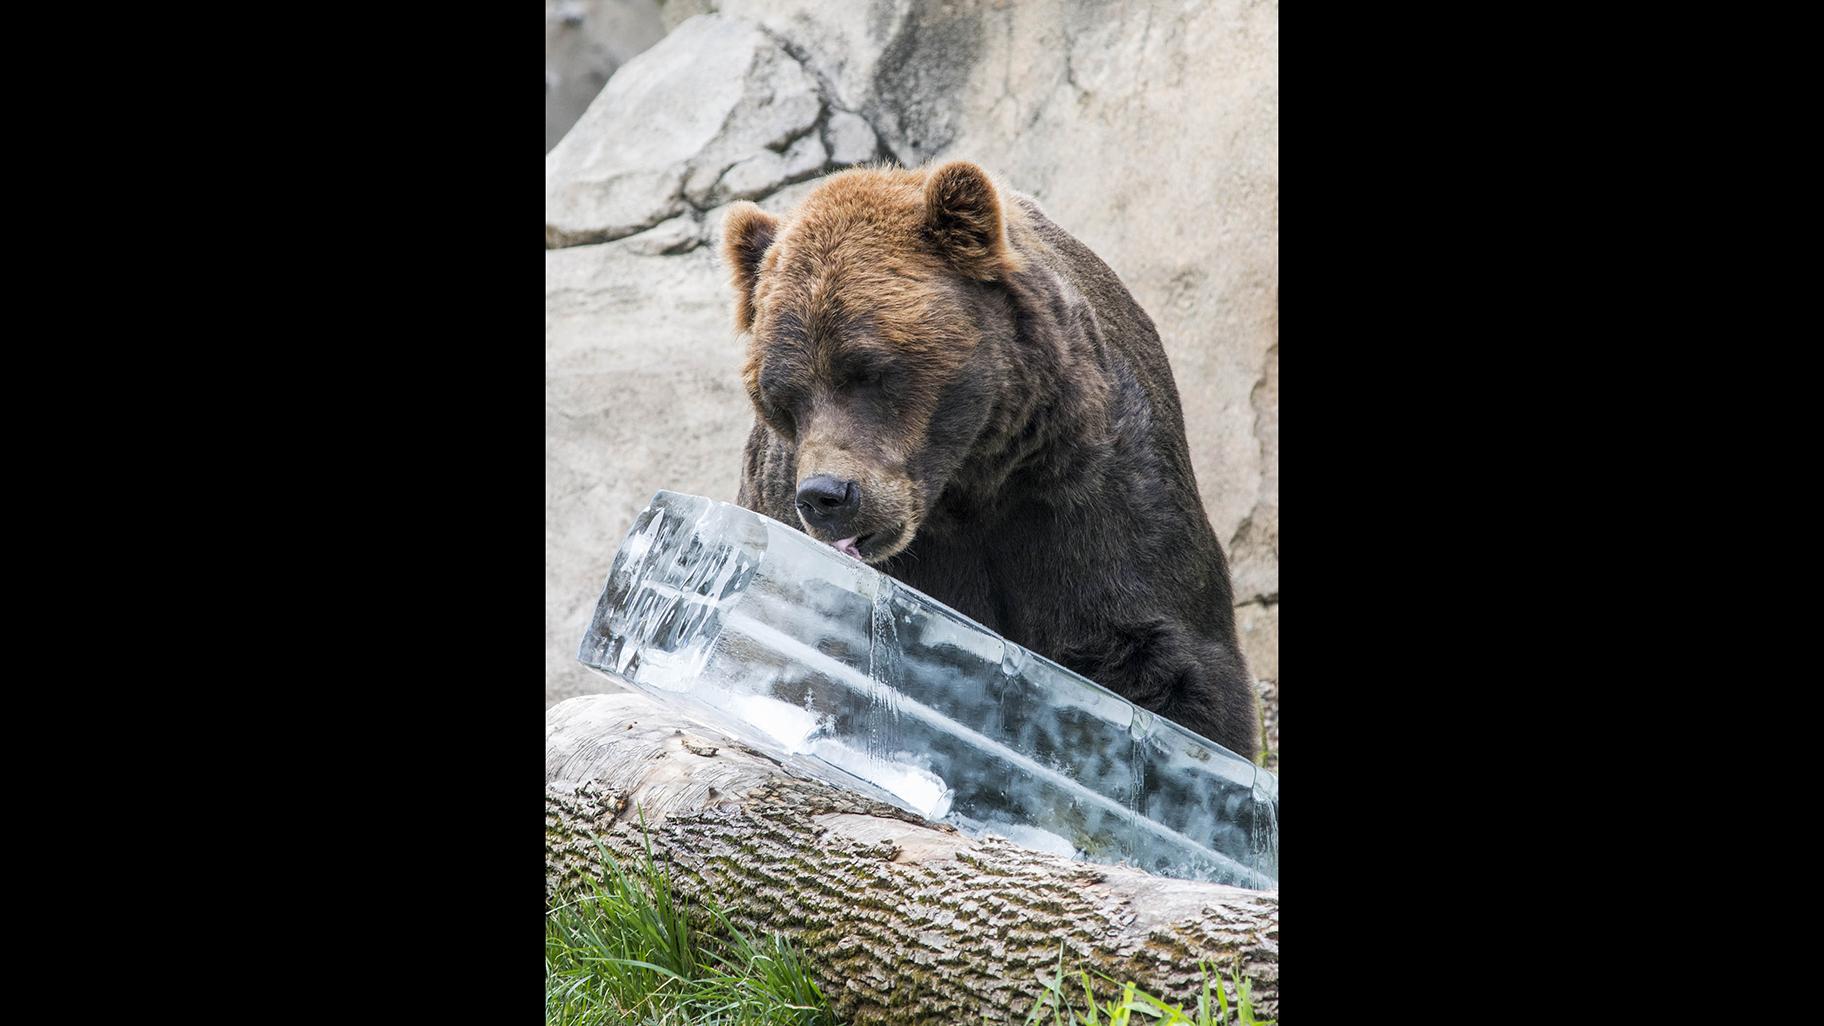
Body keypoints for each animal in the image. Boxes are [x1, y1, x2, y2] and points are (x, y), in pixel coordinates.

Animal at [718, 157, 1262, 752]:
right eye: (781, 396)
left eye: (869, 368)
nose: (826, 496)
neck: (973, 480)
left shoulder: (1097, 492)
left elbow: (1161, 654)